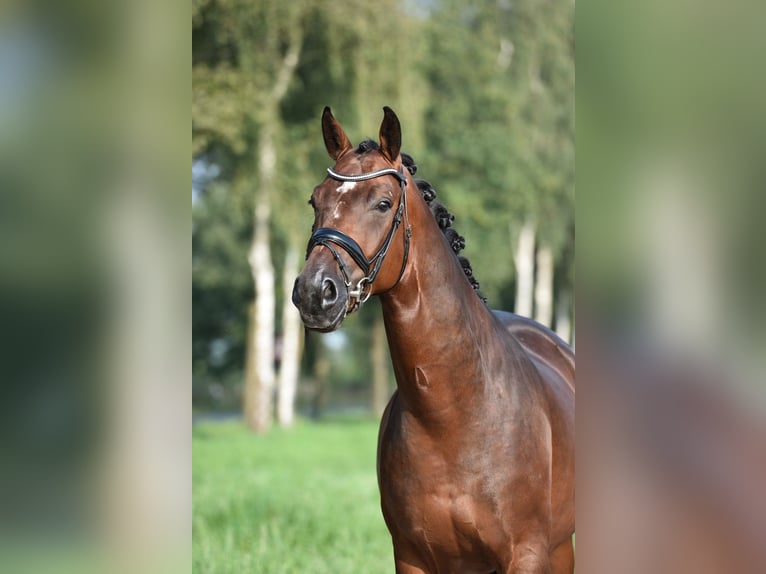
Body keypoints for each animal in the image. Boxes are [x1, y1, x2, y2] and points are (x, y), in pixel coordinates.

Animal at [294, 107, 576, 572]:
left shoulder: (529, 554)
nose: (315, 293)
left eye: (383, 203)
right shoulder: (412, 556)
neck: (453, 417)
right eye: (315, 200)